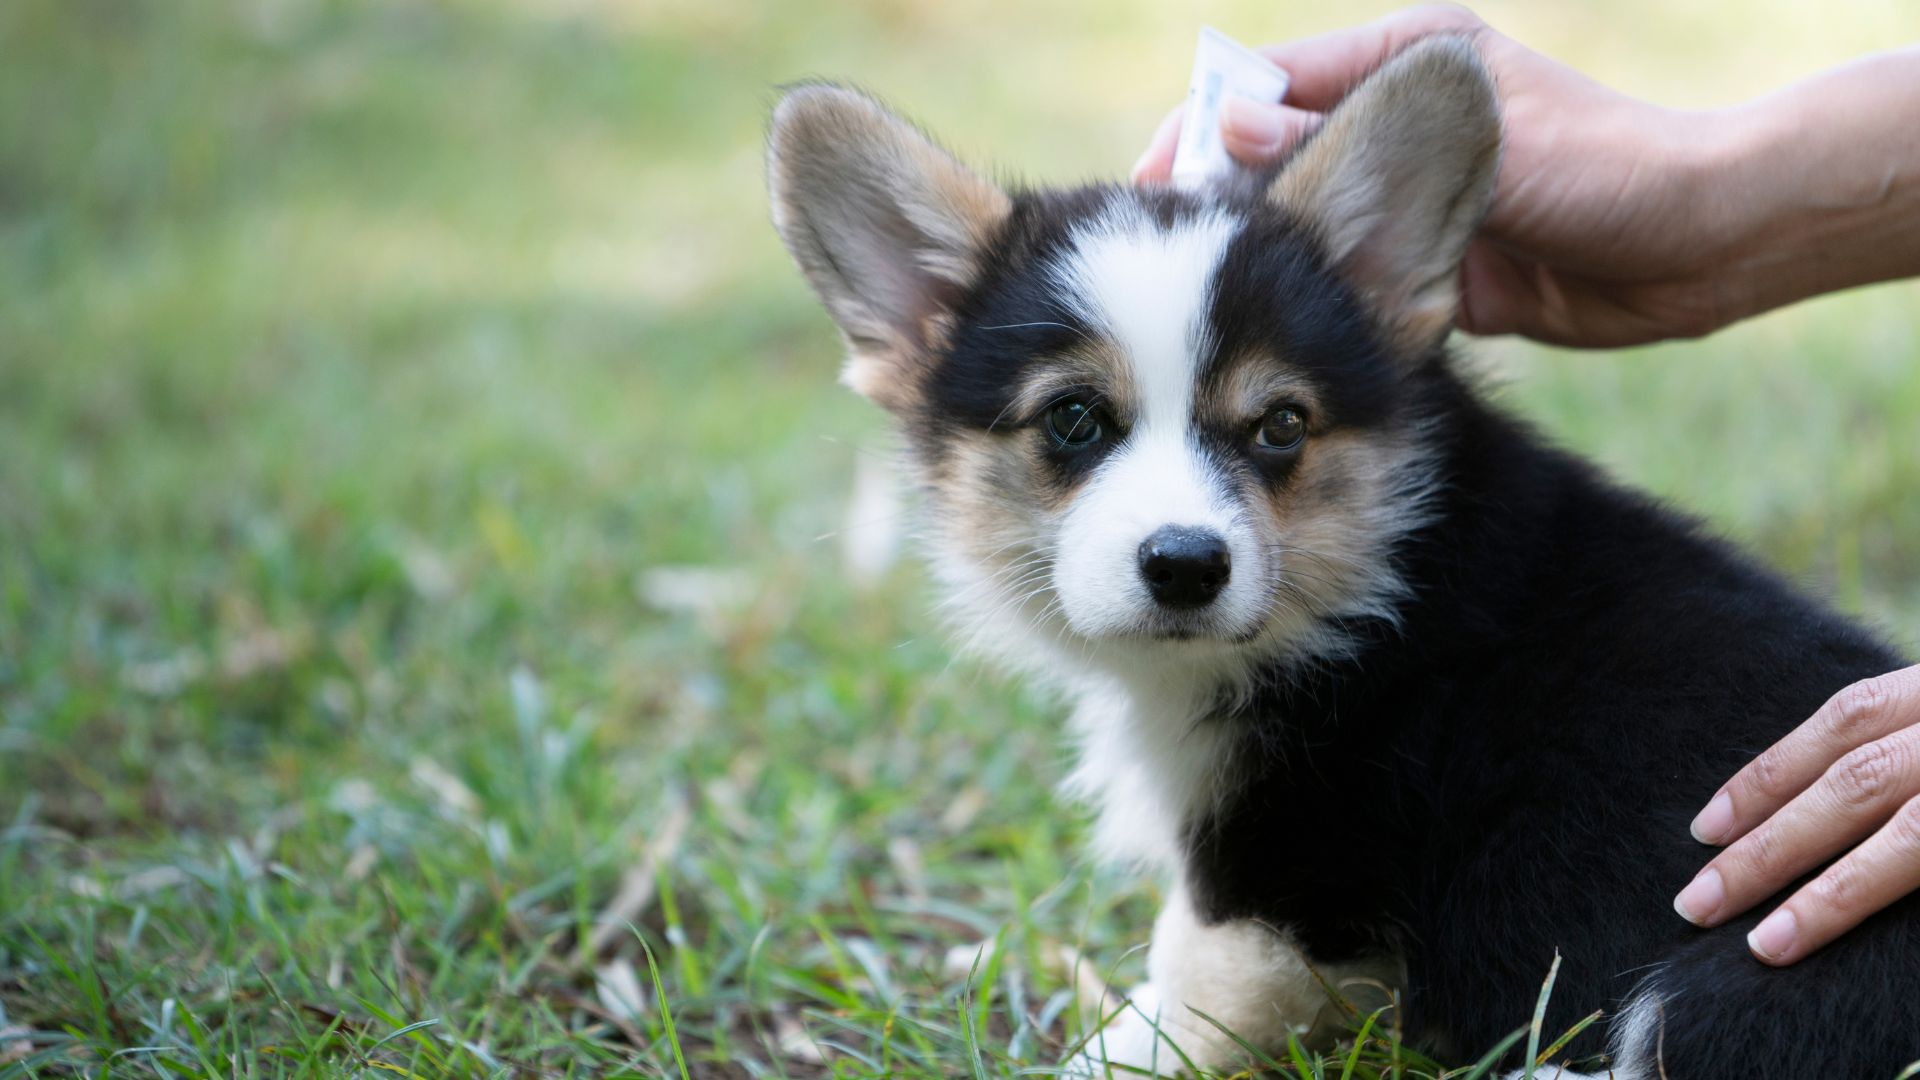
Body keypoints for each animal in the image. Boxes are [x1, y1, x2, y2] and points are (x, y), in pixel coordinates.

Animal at [764, 33, 1920, 1076]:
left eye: (1281, 424)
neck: (1376, 571)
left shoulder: (1282, 881)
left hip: (1750, 967)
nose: (1185, 566)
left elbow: (1182, 995)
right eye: (1074, 419)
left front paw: (1100, 1044)